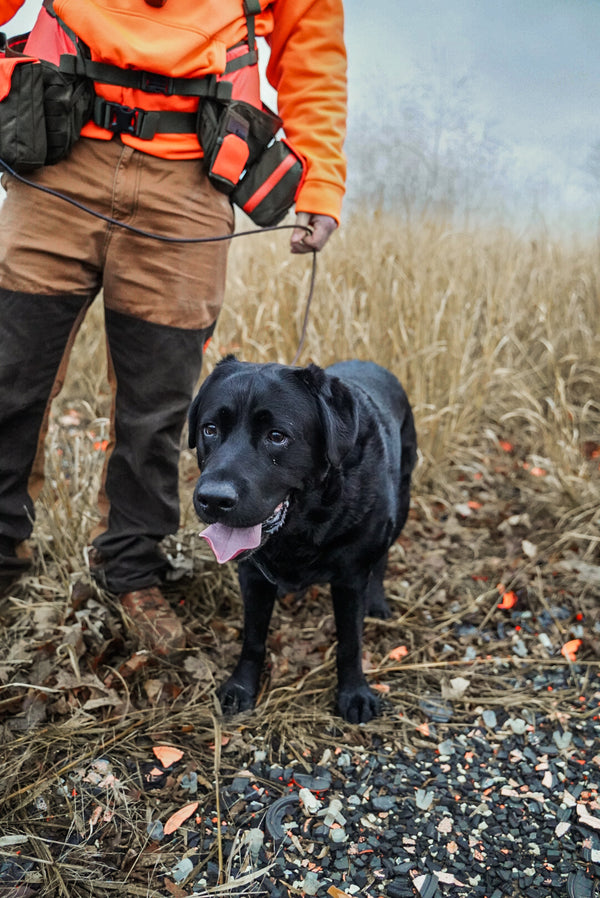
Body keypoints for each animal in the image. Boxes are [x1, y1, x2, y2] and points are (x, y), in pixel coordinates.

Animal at [189, 356, 418, 720]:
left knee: (382, 557)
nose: (213, 499)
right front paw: (241, 687)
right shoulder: (253, 575)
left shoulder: (350, 578)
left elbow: (350, 643)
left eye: (277, 436)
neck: (304, 527)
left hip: (402, 499)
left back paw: (377, 602)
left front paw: (354, 694)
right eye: (210, 429)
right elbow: (253, 639)